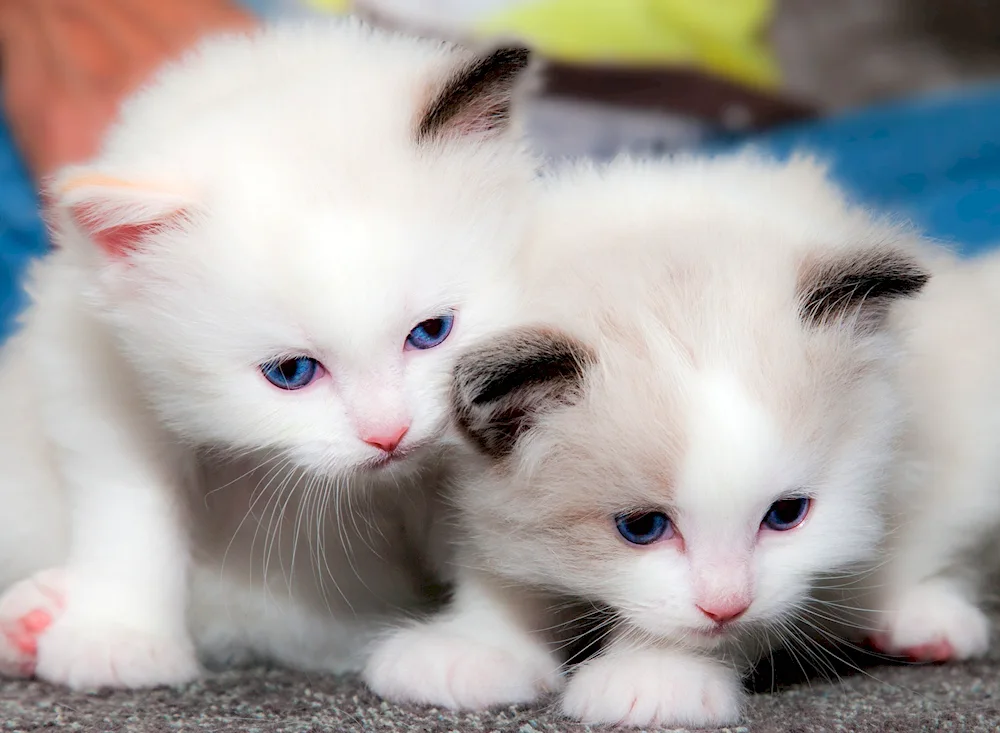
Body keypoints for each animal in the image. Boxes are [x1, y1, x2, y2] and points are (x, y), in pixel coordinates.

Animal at [362, 156, 992, 728]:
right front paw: (475, 647)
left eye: (787, 515)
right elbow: (495, 569)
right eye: (643, 528)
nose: (726, 604)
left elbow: (717, 626)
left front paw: (655, 678)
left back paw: (925, 620)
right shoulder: (474, 493)